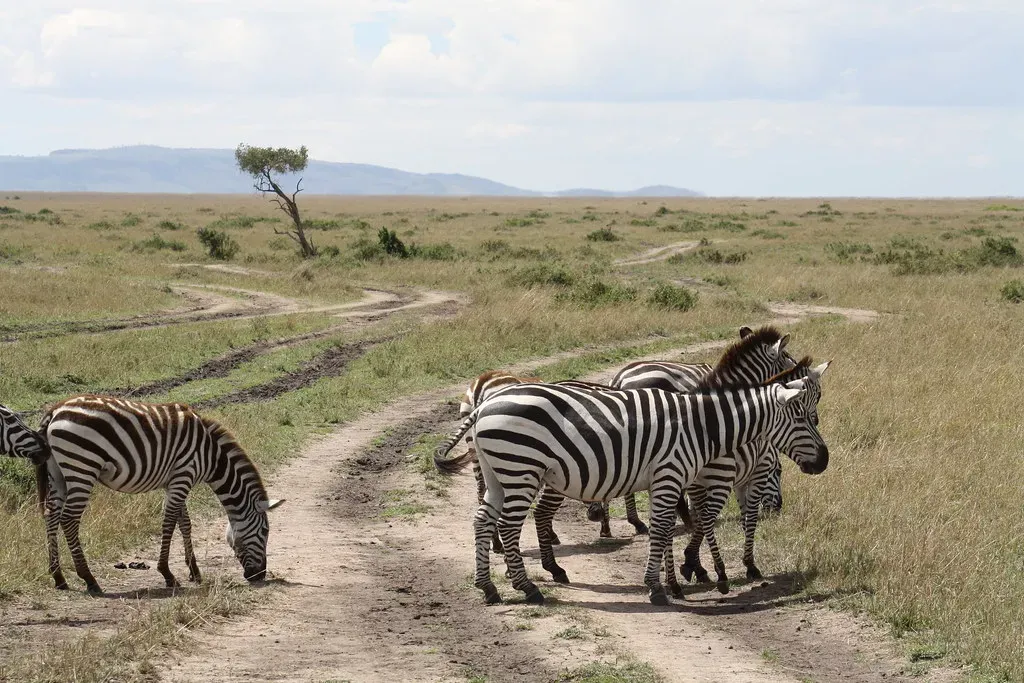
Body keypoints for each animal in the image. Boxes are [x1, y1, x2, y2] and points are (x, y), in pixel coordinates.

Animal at [38, 395, 284, 595]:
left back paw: (59, 577)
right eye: (265, 531)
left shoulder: (175, 480)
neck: (212, 455)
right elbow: (169, 522)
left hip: (59, 474)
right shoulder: (184, 474)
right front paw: (167, 574)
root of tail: (55, 410)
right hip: (82, 466)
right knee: (69, 519)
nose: (259, 576)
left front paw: (194, 571)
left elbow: (185, 523)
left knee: (51, 515)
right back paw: (89, 579)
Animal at [433, 352, 829, 606]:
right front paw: (663, 587)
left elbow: (672, 529)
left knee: (483, 521)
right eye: (802, 417)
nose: (824, 461)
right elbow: (671, 528)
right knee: (510, 525)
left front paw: (678, 578)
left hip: (497, 472)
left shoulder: (671, 481)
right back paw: (528, 587)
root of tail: (485, 402)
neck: (704, 426)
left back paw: (488, 587)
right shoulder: (674, 476)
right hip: (521, 469)